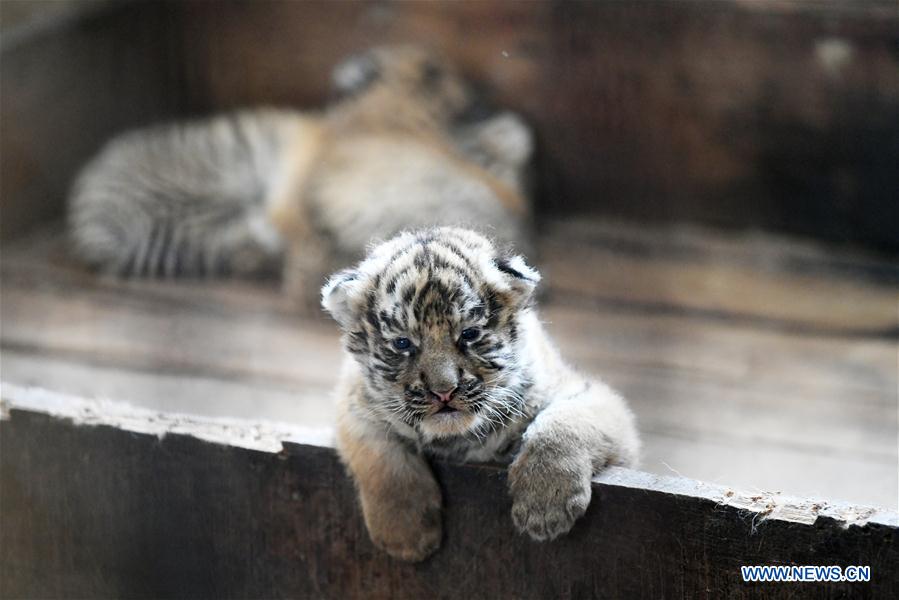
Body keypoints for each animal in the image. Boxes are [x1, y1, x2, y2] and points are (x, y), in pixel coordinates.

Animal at [321, 227, 639, 561]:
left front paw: (544, 508)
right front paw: (406, 535)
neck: (457, 440)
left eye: (469, 335)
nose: (444, 392)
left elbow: (563, 423)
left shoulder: (593, 398)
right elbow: (379, 453)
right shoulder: (353, 404)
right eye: (403, 344)